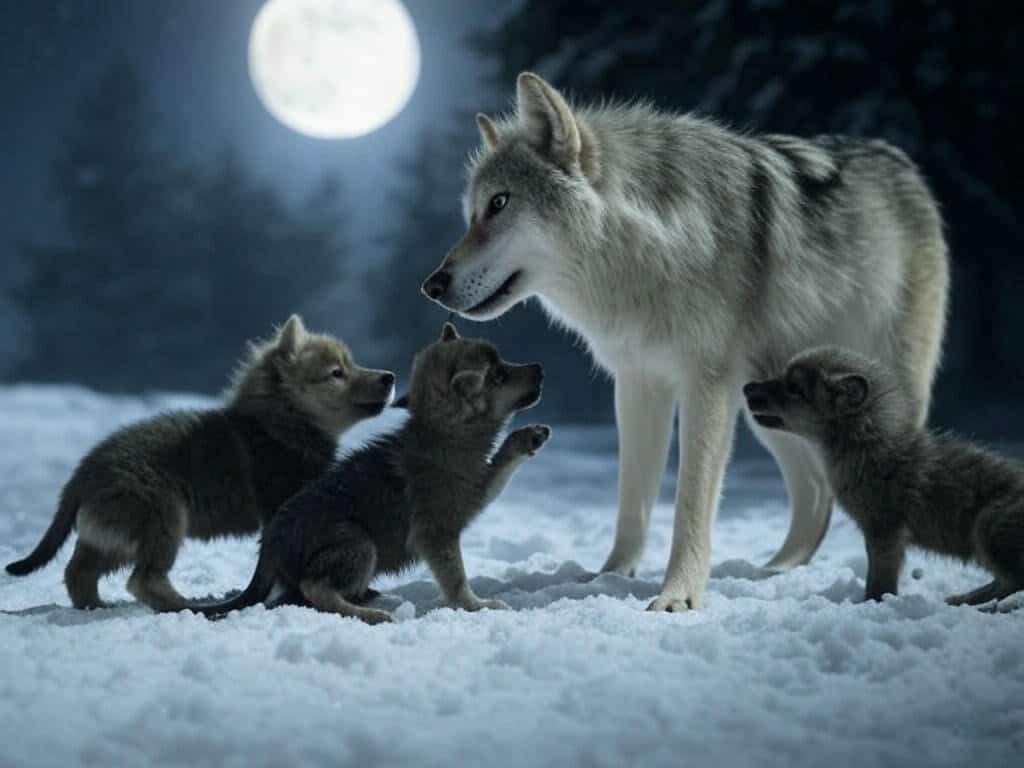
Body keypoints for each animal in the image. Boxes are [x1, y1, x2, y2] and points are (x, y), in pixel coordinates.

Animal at [6, 315, 395, 612]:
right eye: (336, 372)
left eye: (351, 363)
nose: (389, 377)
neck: (281, 422)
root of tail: (82, 475)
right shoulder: (285, 507)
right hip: (163, 517)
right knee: (141, 580)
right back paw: (183, 604)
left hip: (112, 535)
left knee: (78, 572)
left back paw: (97, 606)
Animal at [195, 322, 549, 624]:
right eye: (499, 376)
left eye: (503, 364)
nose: (540, 368)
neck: (445, 433)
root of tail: (268, 546)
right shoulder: (438, 531)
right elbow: (457, 580)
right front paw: (479, 606)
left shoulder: (474, 490)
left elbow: (500, 463)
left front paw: (529, 436)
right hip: (360, 543)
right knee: (315, 588)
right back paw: (373, 613)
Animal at [421, 72, 949, 611]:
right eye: (471, 214)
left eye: (499, 203)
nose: (432, 286)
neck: (650, 249)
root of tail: (898, 158)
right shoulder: (638, 383)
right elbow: (632, 500)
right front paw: (609, 578)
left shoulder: (706, 385)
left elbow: (691, 502)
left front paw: (678, 596)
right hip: (769, 405)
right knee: (817, 490)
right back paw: (773, 572)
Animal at [744, 346, 1023, 607]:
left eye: (793, 388)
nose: (747, 387)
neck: (864, 445)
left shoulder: (884, 531)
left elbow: (879, 582)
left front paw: (871, 605)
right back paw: (961, 599)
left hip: (986, 526)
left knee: (1012, 584)